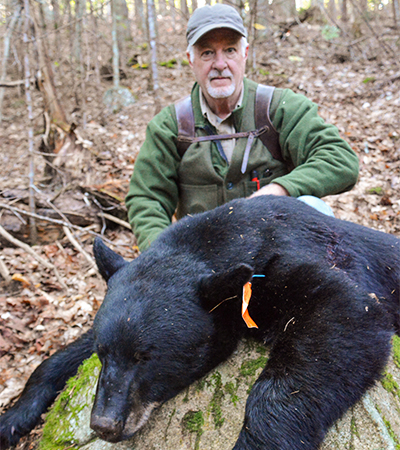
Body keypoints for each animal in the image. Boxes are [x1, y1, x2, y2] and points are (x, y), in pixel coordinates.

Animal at [0, 198, 400, 450]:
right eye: (104, 354)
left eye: (147, 357)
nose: (104, 424)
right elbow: (60, 359)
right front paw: (13, 417)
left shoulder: (298, 260)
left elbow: (346, 312)